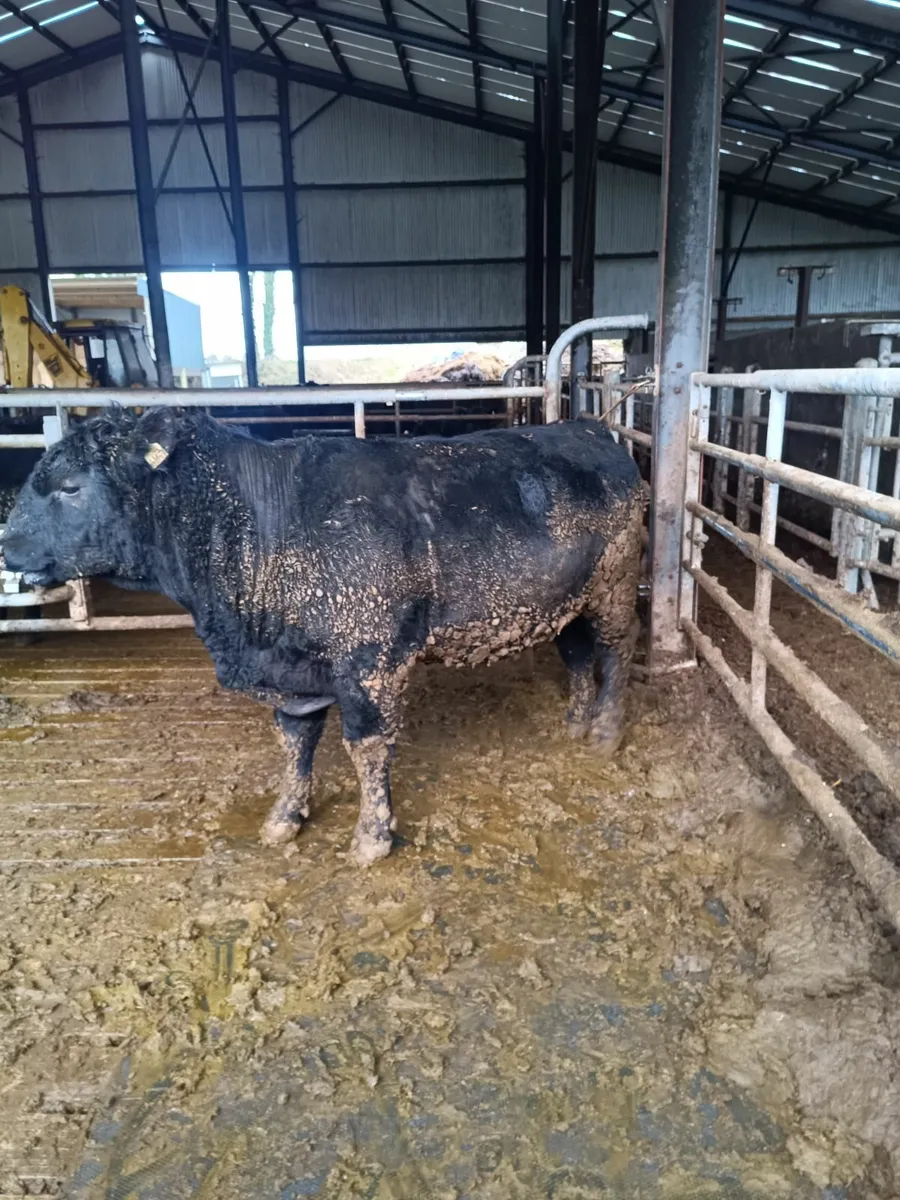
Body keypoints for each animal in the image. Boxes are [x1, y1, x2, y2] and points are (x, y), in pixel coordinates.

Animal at [1, 408, 645, 867]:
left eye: (69, 485)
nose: (7, 545)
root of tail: (590, 428)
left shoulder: (371, 659)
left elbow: (367, 747)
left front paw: (373, 836)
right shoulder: (292, 672)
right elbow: (294, 742)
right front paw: (284, 818)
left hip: (615, 587)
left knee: (617, 651)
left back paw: (606, 732)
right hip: (569, 602)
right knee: (577, 653)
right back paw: (575, 723)